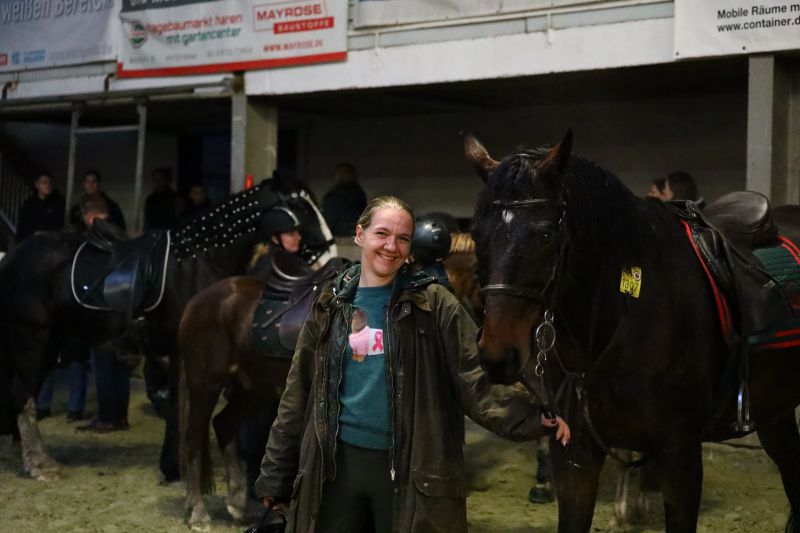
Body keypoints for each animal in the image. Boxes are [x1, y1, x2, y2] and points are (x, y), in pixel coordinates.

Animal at [0, 179, 336, 482]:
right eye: (300, 207)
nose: (331, 259)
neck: (199, 261)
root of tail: (12, 256)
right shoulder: (182, 353)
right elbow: (177, 407)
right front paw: (175, 467)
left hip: (48, 343)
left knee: (24, 392)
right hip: (32, 338)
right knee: (21, 393)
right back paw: (39, 464)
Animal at [463, 130, 800, 532]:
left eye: (544, 235)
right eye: (477, 234)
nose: (497, 355)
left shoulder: (680, 456)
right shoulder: (576, 457)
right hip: (775, 410)